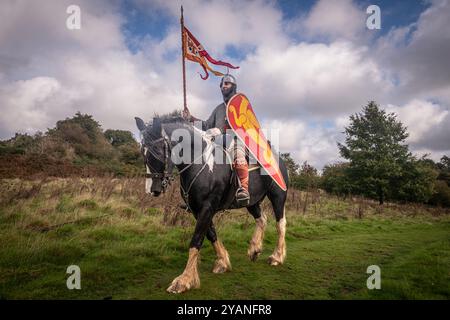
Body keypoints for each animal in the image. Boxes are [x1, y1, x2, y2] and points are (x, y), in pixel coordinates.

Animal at [135, 115, 288, 292]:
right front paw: (223, 262)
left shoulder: (207, 207)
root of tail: (278, 158)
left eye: (159, 151)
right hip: (252, 202)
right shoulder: (197, 209)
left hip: (278, 196)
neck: (200, 163)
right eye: (143, 152)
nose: (152, 189)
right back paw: (255, 249)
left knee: (280, 224)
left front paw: (184, 280)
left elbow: (196, 240)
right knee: (262, 219)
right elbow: (211, 234)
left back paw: (276, 257)